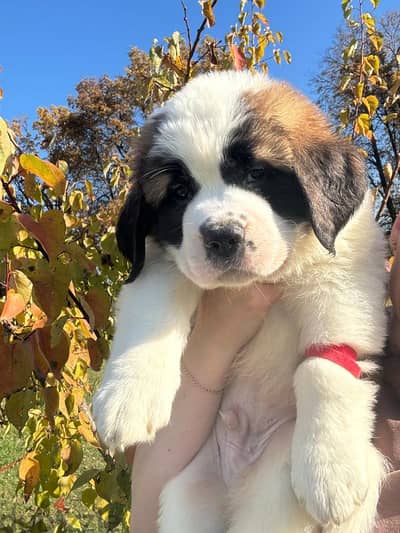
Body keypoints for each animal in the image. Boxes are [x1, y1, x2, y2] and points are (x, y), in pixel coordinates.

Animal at [93, 71, 388, 532]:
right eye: (180, 192)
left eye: (256, 174)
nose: (221, 236)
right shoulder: (159, 263)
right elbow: (151, 316)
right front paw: (126, 398)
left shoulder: (345, 274)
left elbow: (327, 361)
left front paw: (331, 467)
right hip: (187, 495)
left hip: (275, 490)